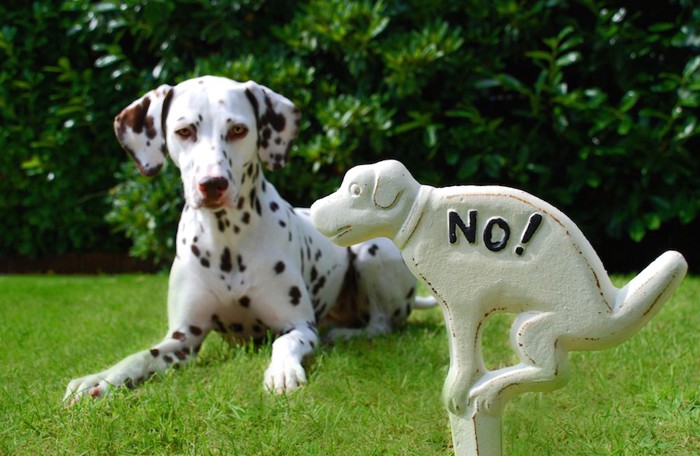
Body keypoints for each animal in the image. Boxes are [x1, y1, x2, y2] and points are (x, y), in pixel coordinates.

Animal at [63, 76, 434, 404]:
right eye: (184, 131)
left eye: (238, 130)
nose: (213, 184)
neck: (226, 242)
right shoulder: (182, 339)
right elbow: (140, 356)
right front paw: (101, 379)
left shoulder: (299, 326)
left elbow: (283, 344)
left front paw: (283, 372)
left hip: (374, 251)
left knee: (380, 324)